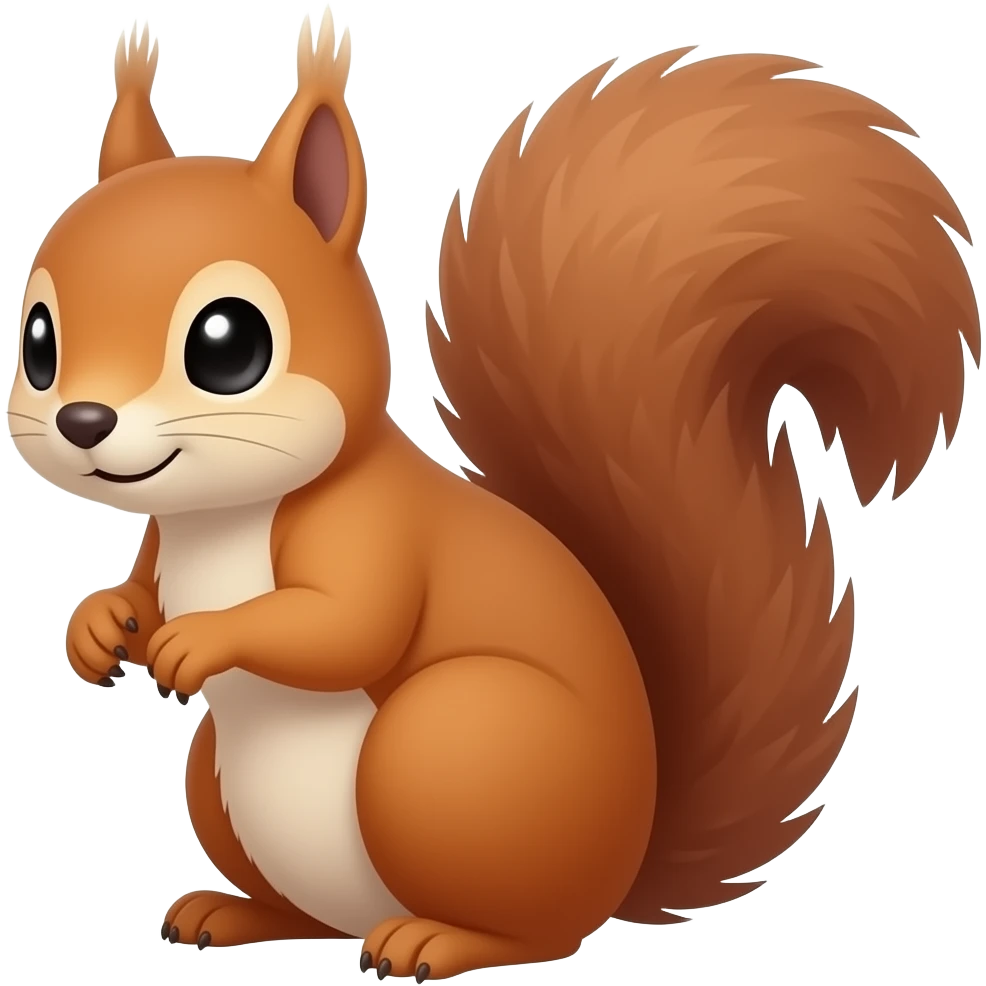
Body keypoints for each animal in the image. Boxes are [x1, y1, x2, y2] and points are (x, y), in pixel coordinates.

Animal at [8, 9, 980, 981]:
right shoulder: (163, 540)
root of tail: (618, 873)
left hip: (450, 746)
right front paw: (99, 626)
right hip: (226, 786)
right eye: (38, 341)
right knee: (312, 916)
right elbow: (142, 588)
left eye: (228, 344)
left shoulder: (372, 528)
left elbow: (346, 625)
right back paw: (234, 912)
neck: (222, 517)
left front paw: (202, 639)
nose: (84, 421)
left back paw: (436, 941)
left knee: (532, 933)